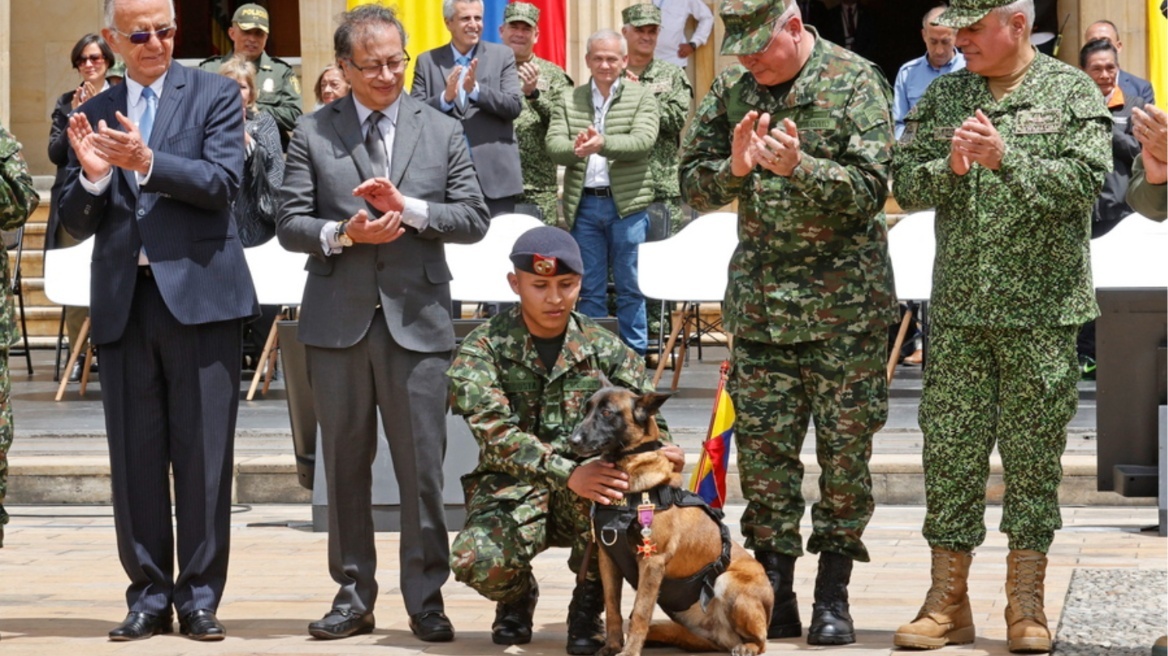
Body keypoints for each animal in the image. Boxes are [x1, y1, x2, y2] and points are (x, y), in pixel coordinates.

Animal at [567, 382, 770, 653]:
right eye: (586, 410)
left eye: (607, 413)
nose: (572, 441)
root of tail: (723, 638)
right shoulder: (607, 560)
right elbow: (613, 608)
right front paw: (612, 646)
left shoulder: (652, 561)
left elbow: (640, 613)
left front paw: (630, 651)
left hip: (727, 580)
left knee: (762, 640)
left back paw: (748, 646)